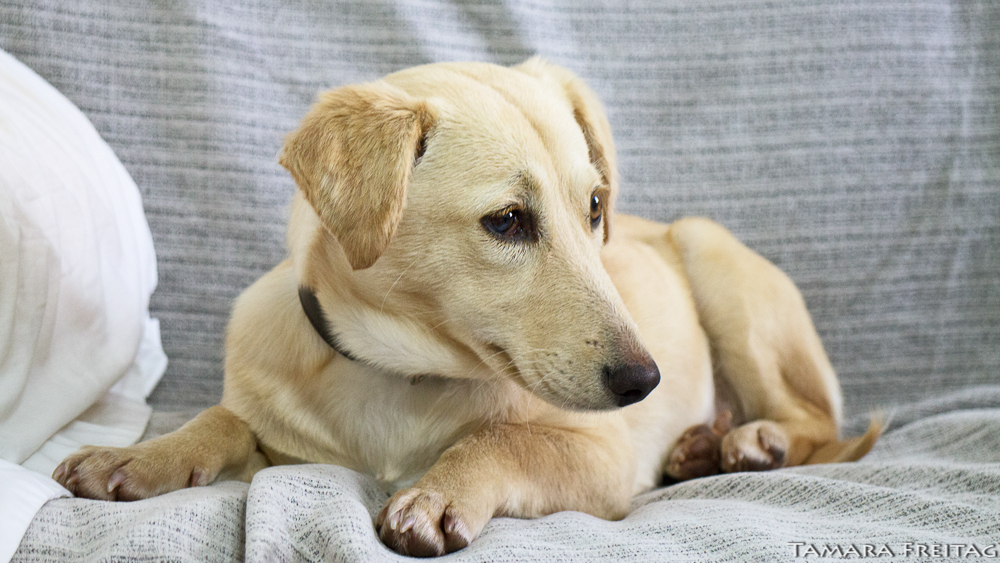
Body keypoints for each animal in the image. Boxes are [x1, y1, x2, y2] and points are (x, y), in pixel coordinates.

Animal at [56, 59, 884, 556]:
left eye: (594, 207)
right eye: (508, 221)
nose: (645, 382)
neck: (402, 374)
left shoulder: (602, 455)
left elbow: (504, 441)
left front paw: (440, 490)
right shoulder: (278, 434)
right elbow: (221, 420)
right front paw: (140, 456)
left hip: (716, 263)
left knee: (816, 420)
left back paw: (753, 441)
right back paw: (701, 446)